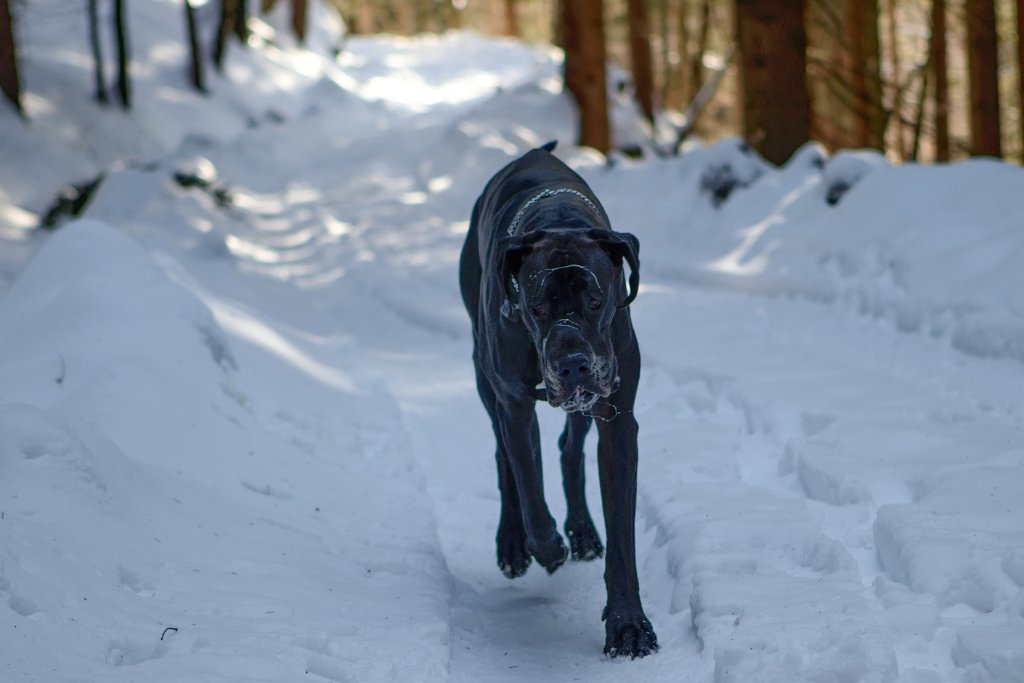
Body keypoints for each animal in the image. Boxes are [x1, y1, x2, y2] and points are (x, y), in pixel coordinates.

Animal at [458, 143, 655, 655]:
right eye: (537, 306)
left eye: (597, 300)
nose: (572, 364)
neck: (559, 220)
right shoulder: (514, 403)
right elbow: (529, 483)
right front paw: (544, 546)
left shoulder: (618, 419)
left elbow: (622, 534)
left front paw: (628, 625)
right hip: (484, 377)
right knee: (505, 458)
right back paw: (513, 543)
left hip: (586, 401)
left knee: (569, 448)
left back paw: (582, 532)